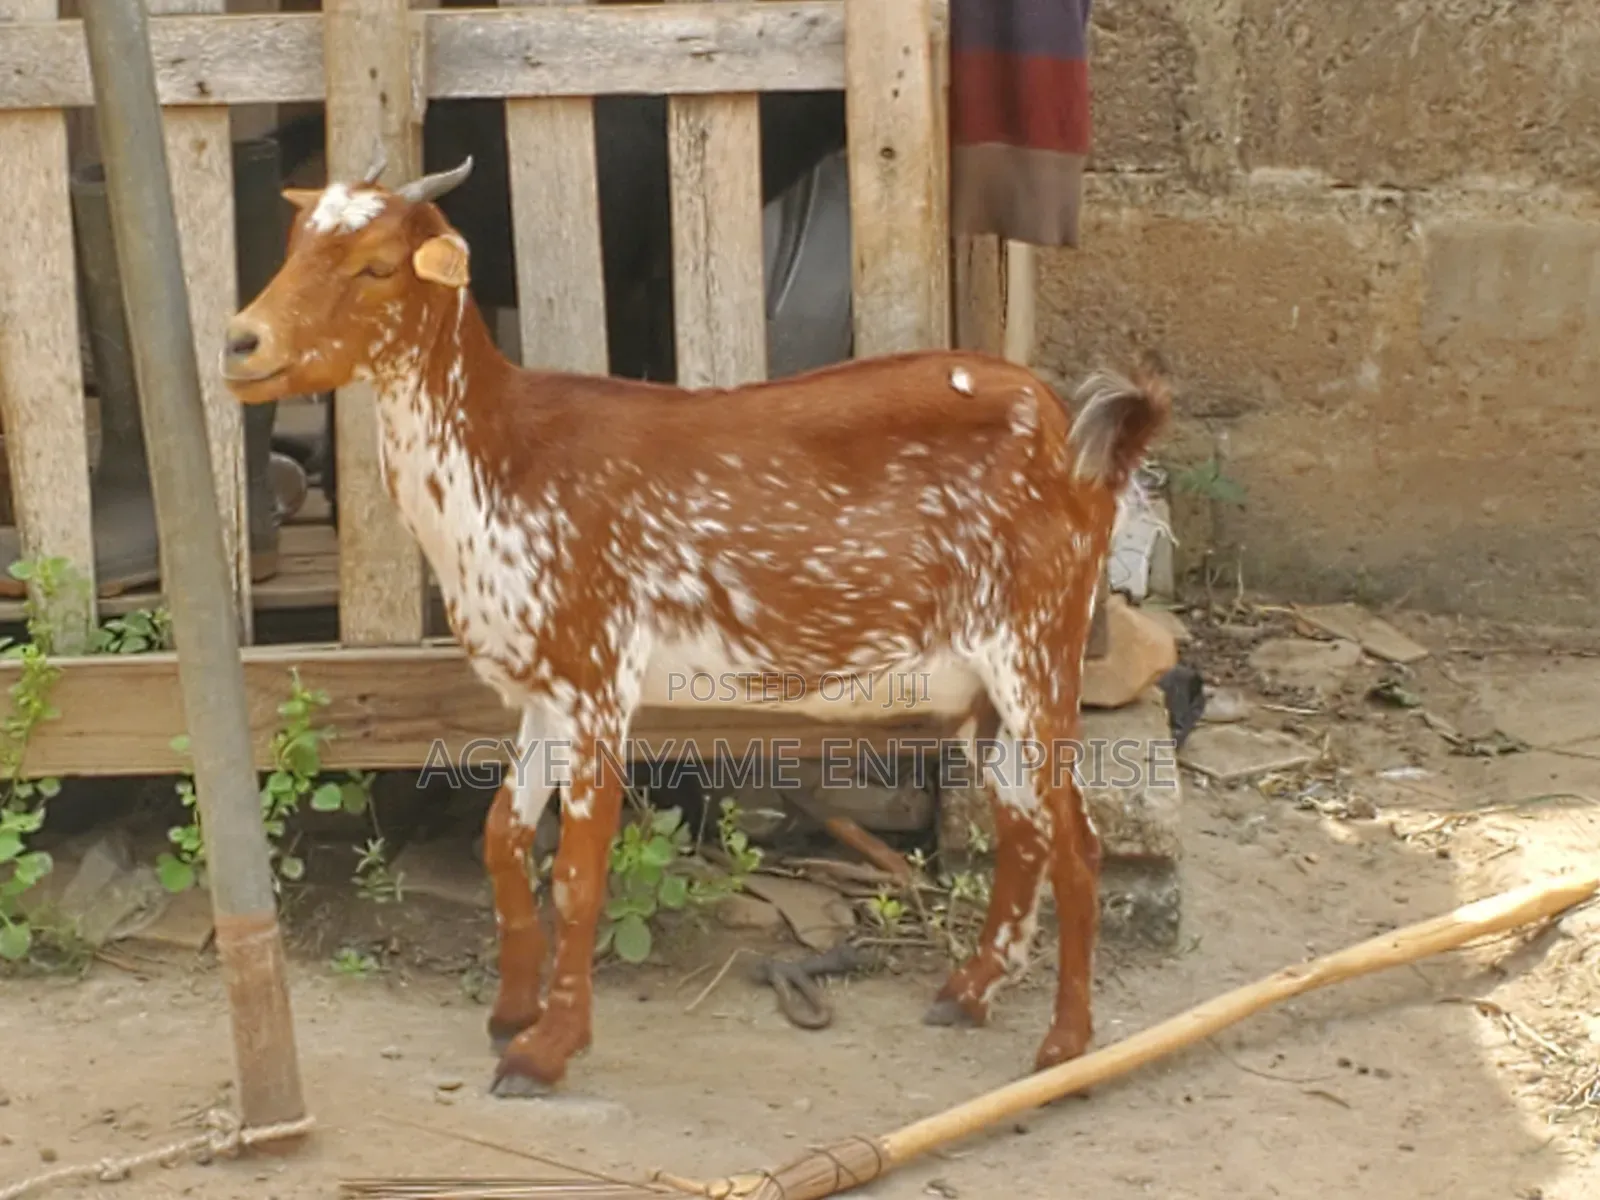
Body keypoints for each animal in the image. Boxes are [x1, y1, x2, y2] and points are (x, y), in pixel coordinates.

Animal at [220, 155, 1173, 1097]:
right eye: (294, 243)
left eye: (377, 265)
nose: (239, 342)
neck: (503, 464)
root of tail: (1082, 442)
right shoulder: (541, 689)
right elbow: (502, 839)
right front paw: (509, 1012)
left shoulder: (598, 675)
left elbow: (578, 872)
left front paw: (546, 1049)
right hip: (985, 686)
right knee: (1023, 827)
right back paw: (968, 994)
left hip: (1038, 645)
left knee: (1079, 842)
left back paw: (1065, 1048)